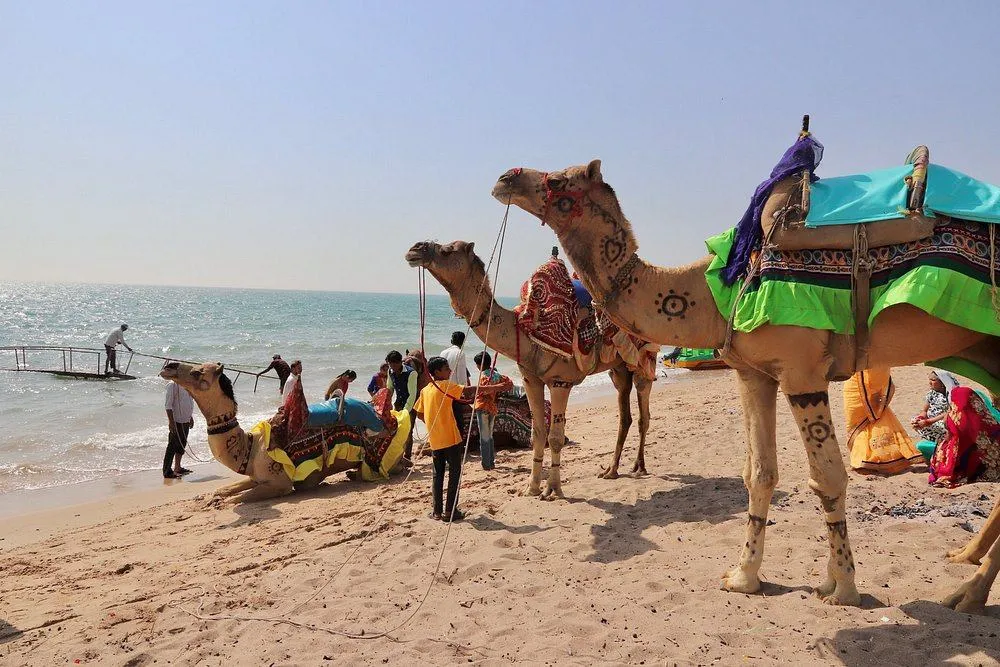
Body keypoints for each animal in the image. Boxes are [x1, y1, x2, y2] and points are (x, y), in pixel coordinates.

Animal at [160, 361, 359, 503]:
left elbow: (236, 499)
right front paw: (206, 498)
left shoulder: (279, 484)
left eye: (197, 372)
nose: (168, 366)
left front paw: (217, 502)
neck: (250, 448)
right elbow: (223, 490)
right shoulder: (255, 477)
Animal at [405, 239, 653, 497]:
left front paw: (553, 490)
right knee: (625, 414)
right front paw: (531, 488)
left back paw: (639, 467)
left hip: (643, 357)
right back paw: (611, 471)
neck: (525, 331)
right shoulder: (531, 378)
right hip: (619, 367)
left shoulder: (560, 380)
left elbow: (555, 437)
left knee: (643, 412)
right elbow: (538, 434)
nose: (415, 248)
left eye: (447, 250)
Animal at [493, 160, 1000, 610]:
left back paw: (967, 593)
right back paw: (966, 570)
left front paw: (843, 589)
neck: (715, 286)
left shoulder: (801, 369)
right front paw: (745, 578)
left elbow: (827, 477)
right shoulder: (755, 373)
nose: (505, 177)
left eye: (558, 180)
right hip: (983, 351)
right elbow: (759, 473)